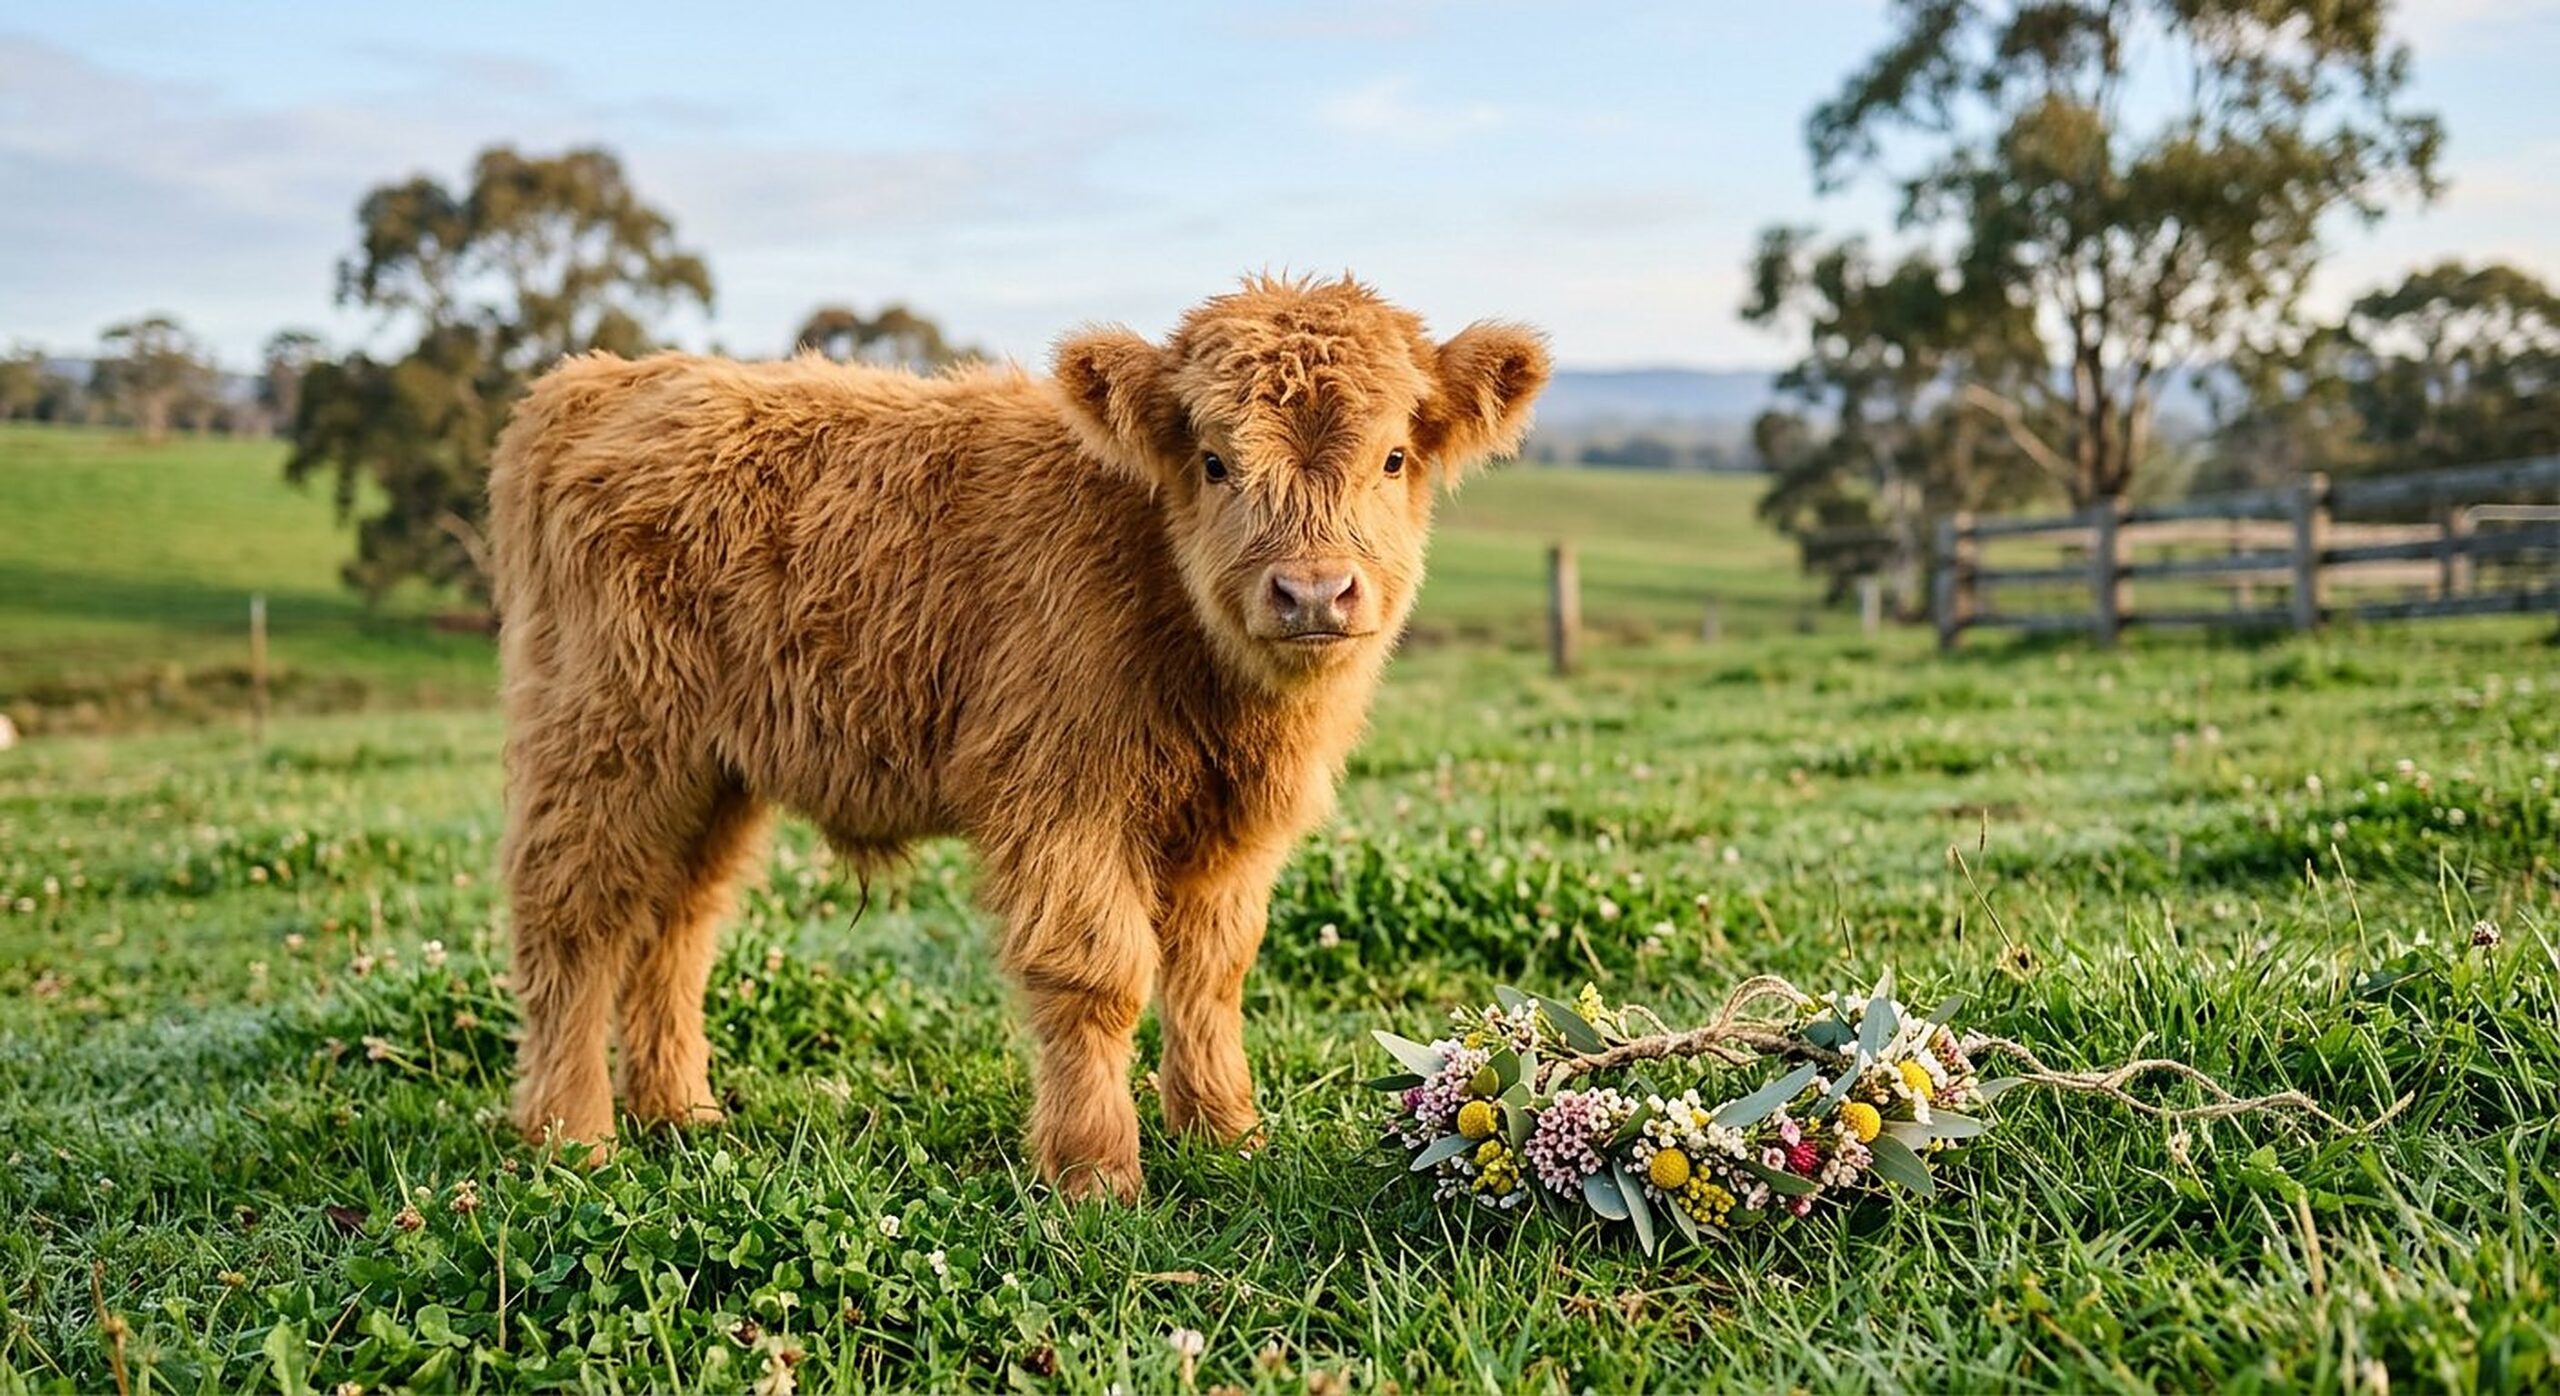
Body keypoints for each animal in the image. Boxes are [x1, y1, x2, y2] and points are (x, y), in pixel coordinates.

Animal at [487, 275, 1549, 1198]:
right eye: (1215, 461)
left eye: (1393, 458)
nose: (1314, 592)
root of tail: (602, 380)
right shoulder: (1063, 798)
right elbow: (1098, 979)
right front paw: (1096, 1174)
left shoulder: (1235, 831)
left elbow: (1212, 974)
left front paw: (1227, 1136)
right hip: (606, 739)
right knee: (575, 922)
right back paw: (574, 1136)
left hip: (713, 772)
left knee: (675, 924)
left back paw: (680, 1113)